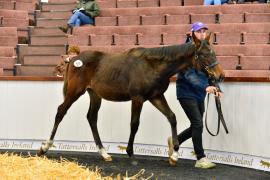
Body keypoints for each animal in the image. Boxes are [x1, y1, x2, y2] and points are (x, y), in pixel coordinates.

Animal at [37, 32, 224, 165]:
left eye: (214, 52)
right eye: (204, 54)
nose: (220, 75)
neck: (152, 65)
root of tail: (74, 59)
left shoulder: (156, 96)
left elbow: (172, 117)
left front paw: (175, 155)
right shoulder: (138, 98)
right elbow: (134, 124)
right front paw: (130, 152)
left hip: (95, 94)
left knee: (91, 118)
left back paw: (104, 153)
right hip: (74, 92)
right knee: (61, 111)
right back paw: (44, 148)